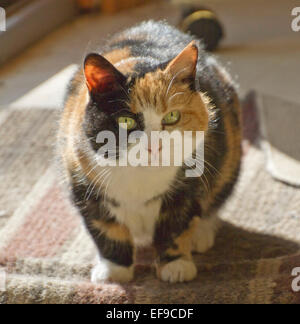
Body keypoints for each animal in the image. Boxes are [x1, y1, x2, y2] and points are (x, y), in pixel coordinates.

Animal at [58, 20, 241, 284]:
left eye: (172, 116)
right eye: (125, 120)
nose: (154, 145)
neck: (140, 177)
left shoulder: (186, 190)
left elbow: (176, 228)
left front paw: (176, 266)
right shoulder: (84, 188)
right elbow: (107, 231)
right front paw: (114, 271)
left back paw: (201, 235)